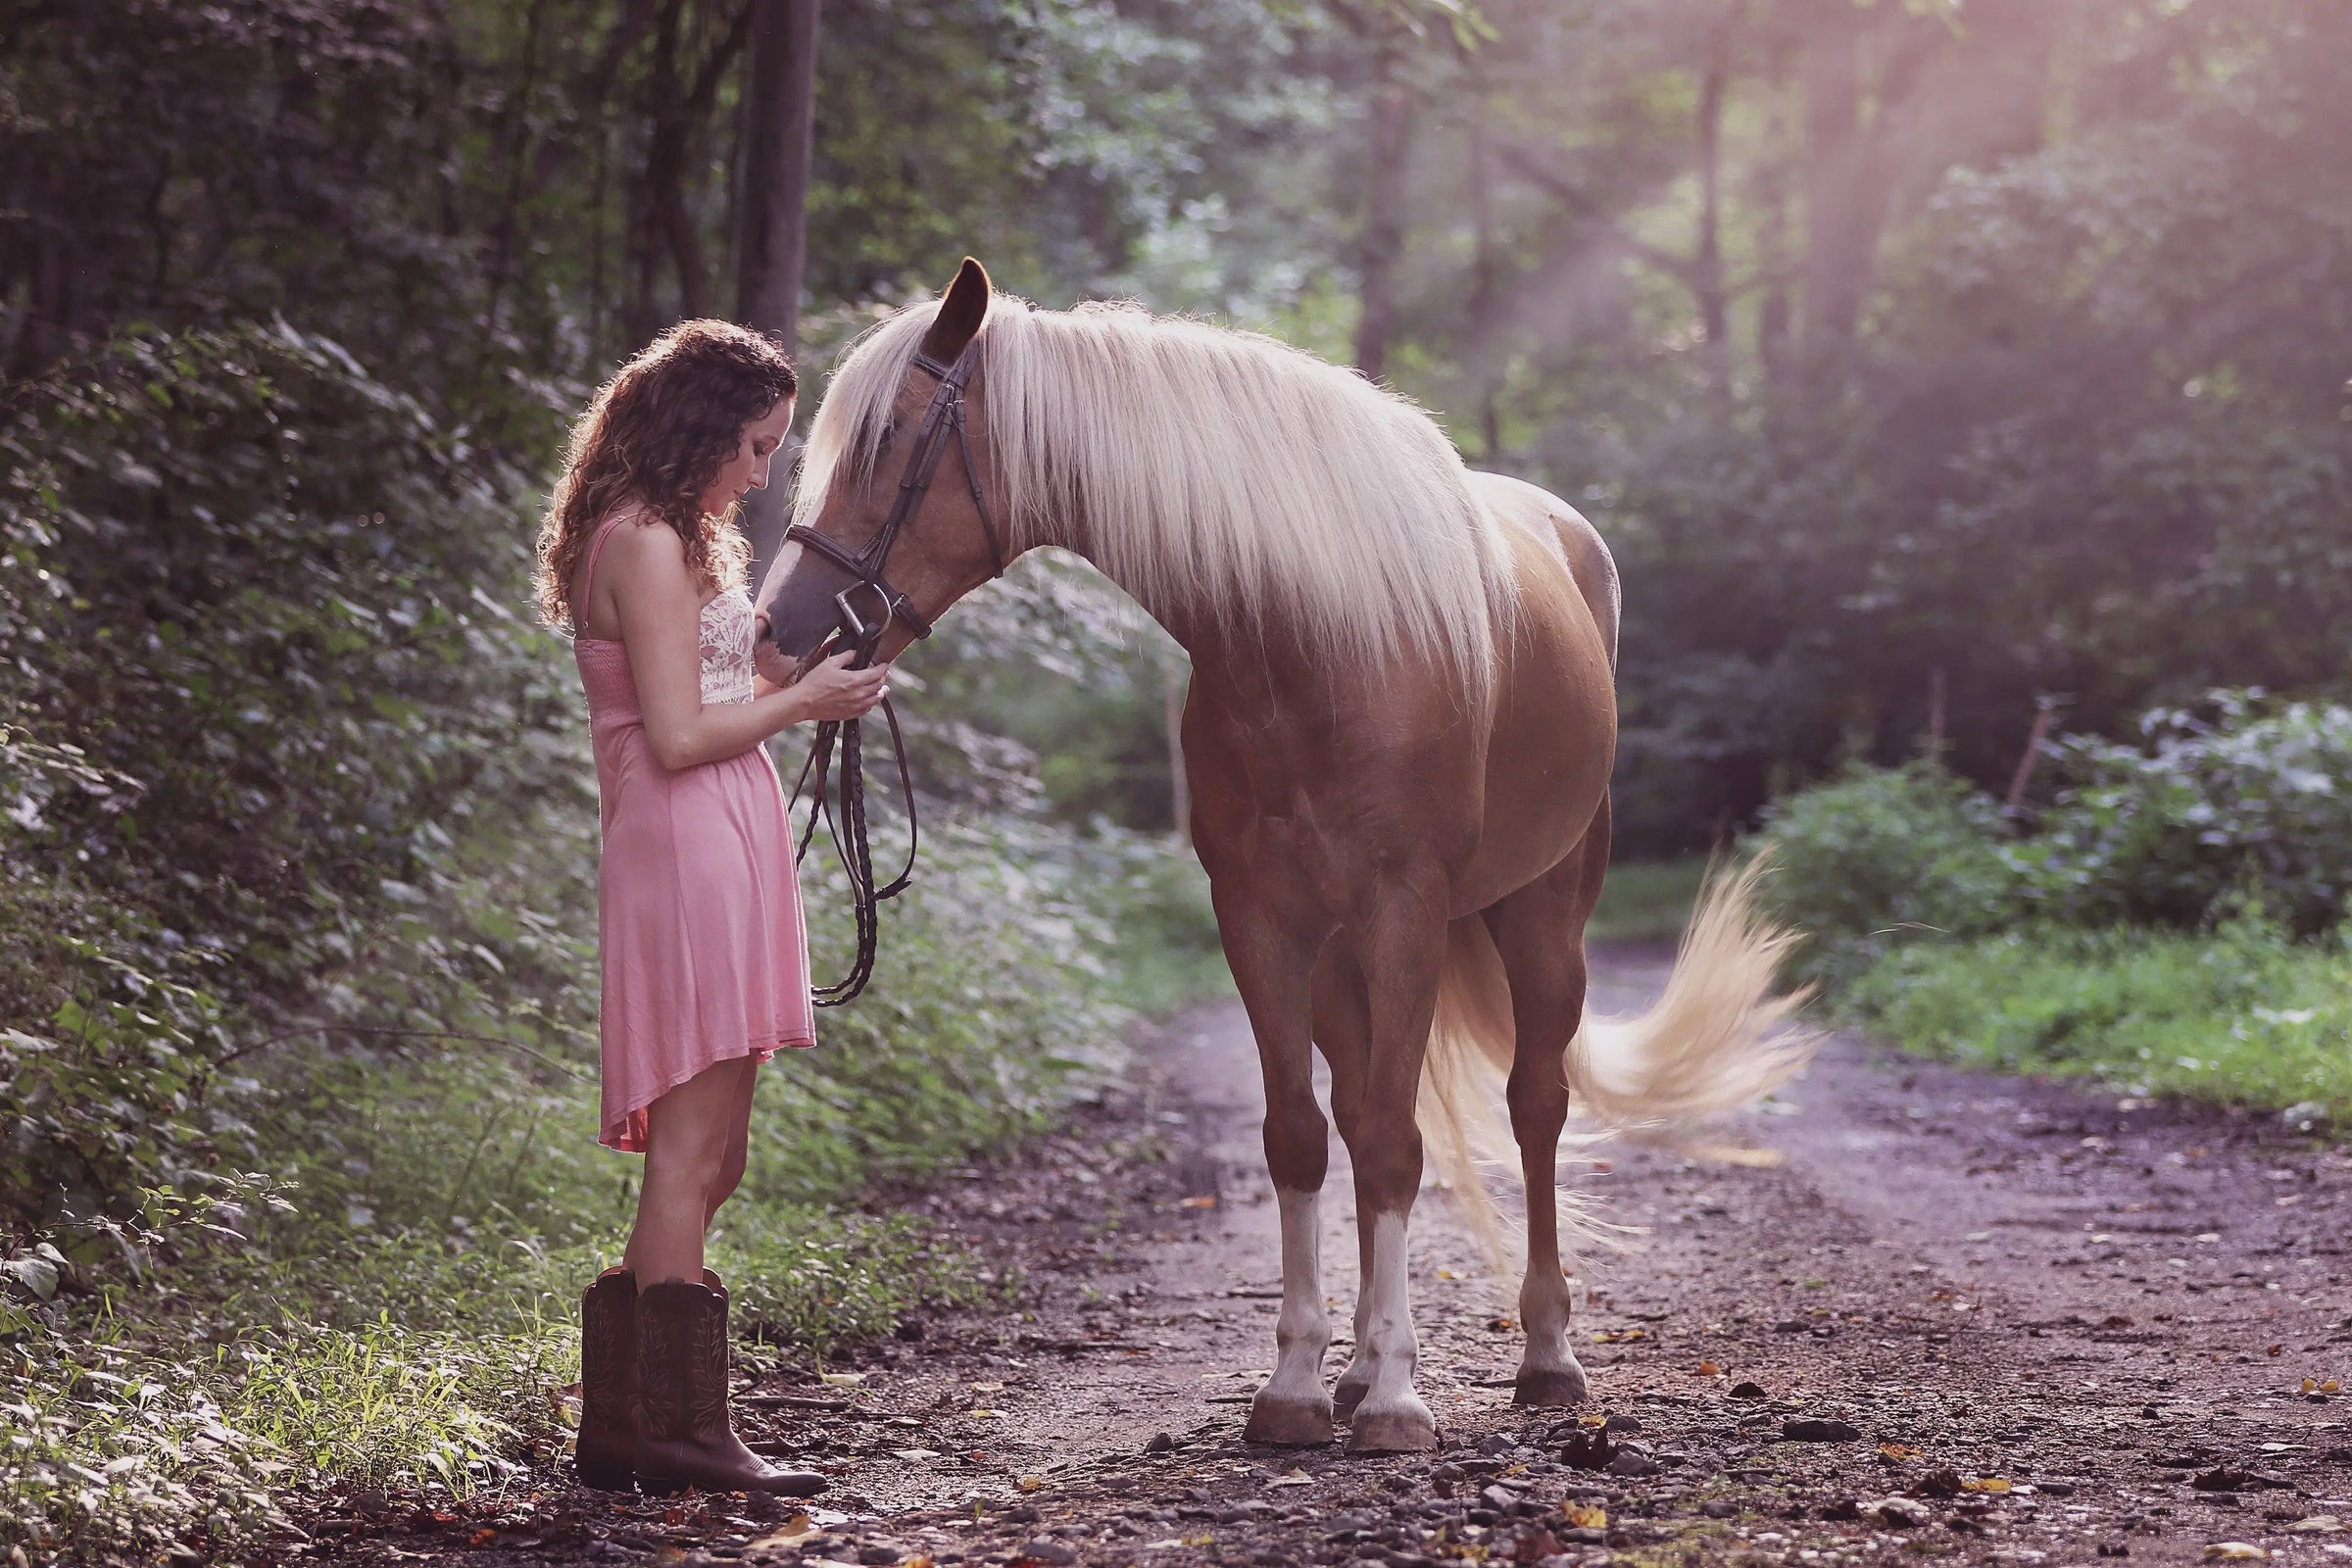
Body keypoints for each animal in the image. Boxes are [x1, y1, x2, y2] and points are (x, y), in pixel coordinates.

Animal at [756, 258, 1813, 1454]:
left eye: (888, 439)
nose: (778, 632)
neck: (1314, 640)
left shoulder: (1405, 911)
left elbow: (1399, 1143)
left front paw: (1400, 1401)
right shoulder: (1260, 919)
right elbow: (1303, 1138)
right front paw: (1304, 1386)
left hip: (1544, 917)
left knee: (1534, 1106)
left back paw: (1545, 1355)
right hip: (1347, 956)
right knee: (1358, 1110)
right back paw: (1357, 1368)